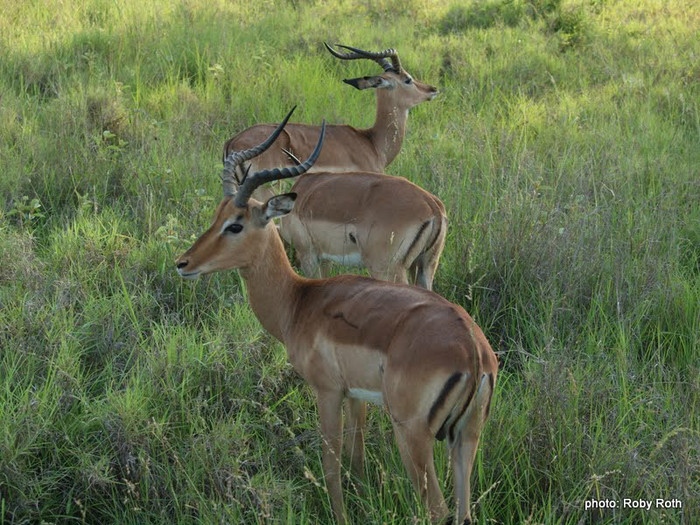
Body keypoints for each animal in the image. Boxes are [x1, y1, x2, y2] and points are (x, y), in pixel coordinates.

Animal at [178, 115, 500, 524]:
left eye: (235, 225)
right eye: (216, 216)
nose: (183, 263)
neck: (300, 302)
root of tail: (474, 352)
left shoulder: (327, 392)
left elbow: (330, 464)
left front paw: (340, 514)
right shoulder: (355, 394)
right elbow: (356, 449)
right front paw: (362, 491)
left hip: (413, 436)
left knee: (437, 509)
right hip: (466, 439)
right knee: (464, 510)